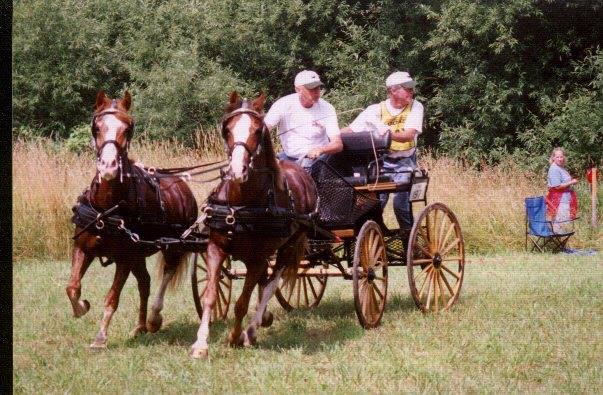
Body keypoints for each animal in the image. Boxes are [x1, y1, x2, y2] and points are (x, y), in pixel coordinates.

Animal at [66, 90, 198, 350]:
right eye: (96, 127)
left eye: (128, 128)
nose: (108, 166)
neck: (107, 209)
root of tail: (181, 184)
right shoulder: (83, 247)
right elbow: (72, 287)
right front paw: (81, 308)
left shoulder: (124, 258)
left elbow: (112, 297)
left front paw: (100, 338)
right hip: (139, 254)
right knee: (144, 283)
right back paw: (140, 326)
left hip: (172, 247)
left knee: (166, 274)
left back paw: (154, 319)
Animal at [191, 92, 318, 358]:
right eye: (227, 129)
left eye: (258, 130)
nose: (237, 170)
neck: (242, 205)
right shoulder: (215, 249)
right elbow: (210, 296)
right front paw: (201, 345)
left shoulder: (257, 259)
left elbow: (242, 302)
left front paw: (236, 336)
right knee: (265, 283)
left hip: (288, 247)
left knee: (271, 284)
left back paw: (251, 330)